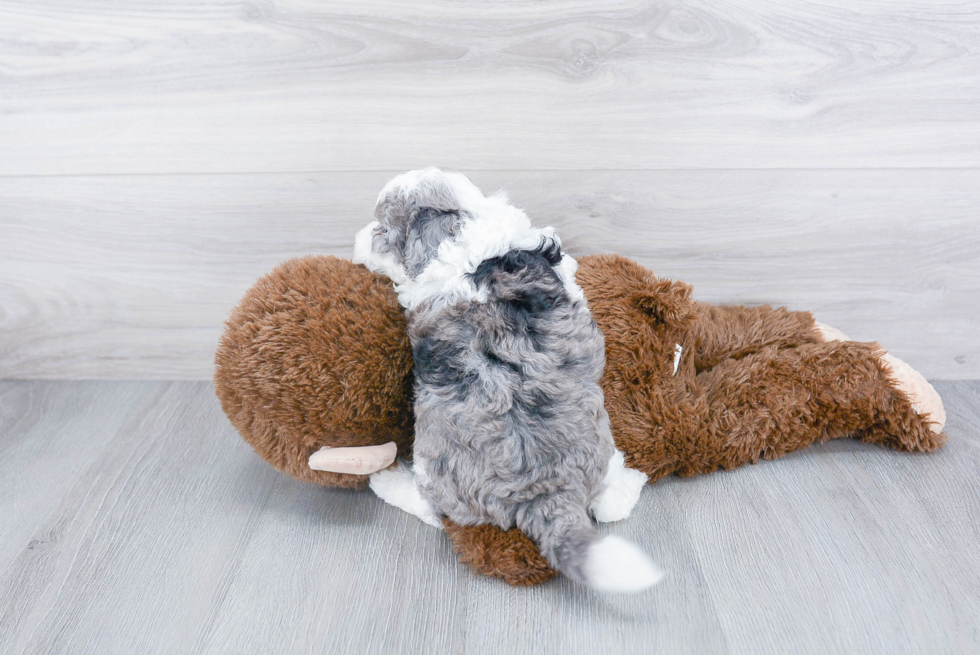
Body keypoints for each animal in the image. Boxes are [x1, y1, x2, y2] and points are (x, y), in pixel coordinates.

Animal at [350, 170, 660, 596]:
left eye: (382, 229)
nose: (358, 237)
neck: (467, 227)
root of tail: (545, 492)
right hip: (602, 441)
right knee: (611, 502)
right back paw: (632, 479)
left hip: (434, 466)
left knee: (431, 509)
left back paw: (386, 481)